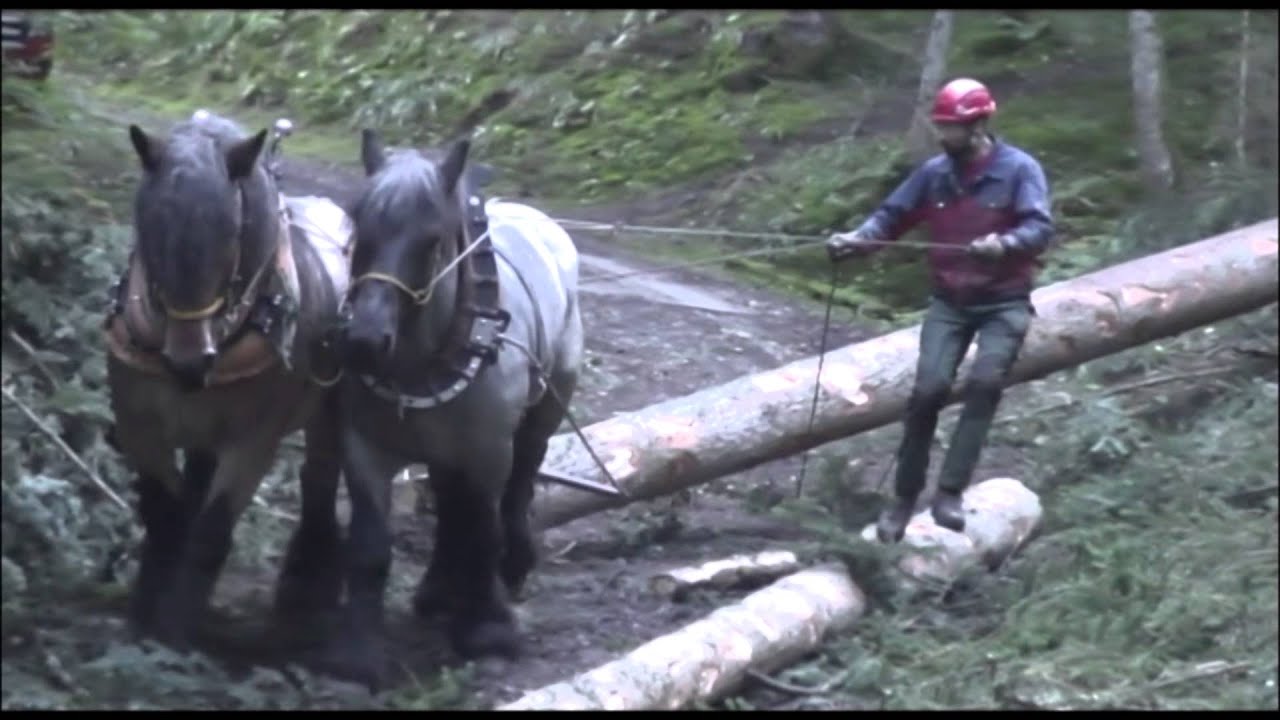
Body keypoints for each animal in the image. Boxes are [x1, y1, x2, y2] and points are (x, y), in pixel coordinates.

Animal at [103, 110, 353, 653]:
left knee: (320, 479)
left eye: (233, 233)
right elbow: (164, 515)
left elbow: (211, 532)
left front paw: (175, 633)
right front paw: (142, 616)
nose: (190, 364)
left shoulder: (254, 440)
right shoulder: (138, 422)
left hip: (330, 412)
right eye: (149, 225)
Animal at [327, 128, 584, 687]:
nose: (364, 342)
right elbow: (370, 545)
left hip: (543, 411)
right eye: (360, 229)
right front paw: (357, 650)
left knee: (518, 483)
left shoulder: (488, 452)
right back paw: (438, 591)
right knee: (449, 504)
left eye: (431, 241)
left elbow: (483, 531)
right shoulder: (363, 448)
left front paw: (487, 630)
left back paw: (511, 567)